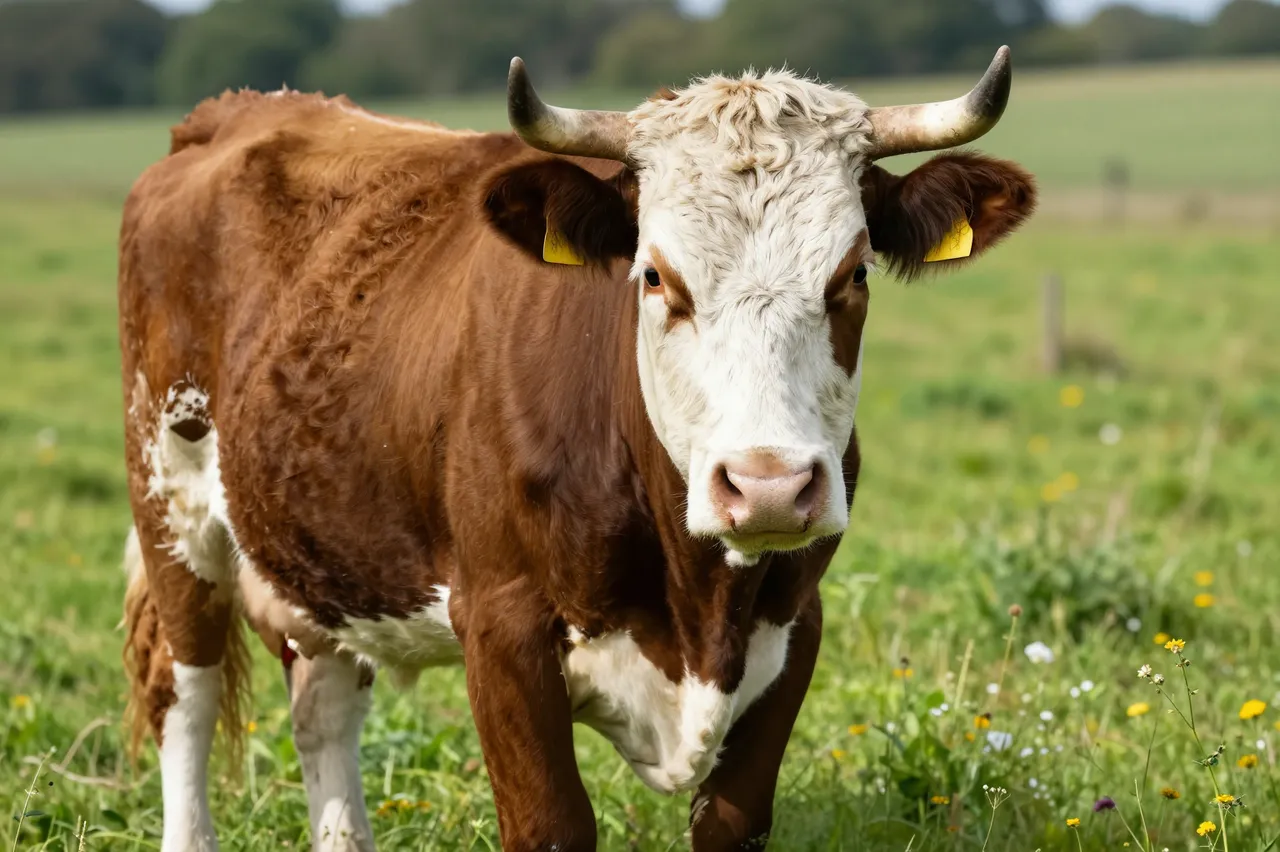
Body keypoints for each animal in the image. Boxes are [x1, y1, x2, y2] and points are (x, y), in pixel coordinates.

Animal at [118, 48, 1035, 852]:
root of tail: (234, 111)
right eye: (656, 276)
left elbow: (732, 821)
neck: (698, 608)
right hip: (172, 509)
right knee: (186, 700)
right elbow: (551, 825)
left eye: (853, 275)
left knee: (325, 712)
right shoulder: (501, 628)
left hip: (321, 553)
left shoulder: (793, 625)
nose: (769, 487)